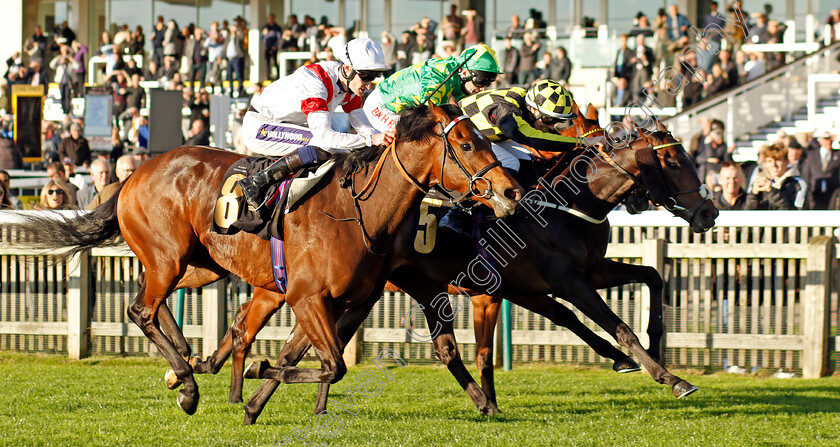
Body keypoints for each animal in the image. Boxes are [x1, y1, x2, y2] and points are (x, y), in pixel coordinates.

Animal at [9, 103, 520, 418]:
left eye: (484, 137)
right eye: (467, 143)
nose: (510, 191)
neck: (358, 210)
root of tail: (133, 173)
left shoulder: (343, 300)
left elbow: (316, 357)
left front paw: (254, 394)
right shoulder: (306, 296)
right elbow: (332, 364)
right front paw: (256, 375)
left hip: (197, 265)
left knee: (152, 304)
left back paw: (185, 363)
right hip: (168, 257)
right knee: (141, 310)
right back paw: (188, 384)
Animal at [235, 112, 716, 420]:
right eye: (673, 161)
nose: (709, 212)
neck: (567, 203)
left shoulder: (564, 276)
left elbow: (649, 277)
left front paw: (648, 344)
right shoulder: (564, 280)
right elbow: (615, 325)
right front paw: (669, 376)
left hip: (377, 289)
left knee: (312, 342)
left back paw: (267, 401)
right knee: (302, 339)